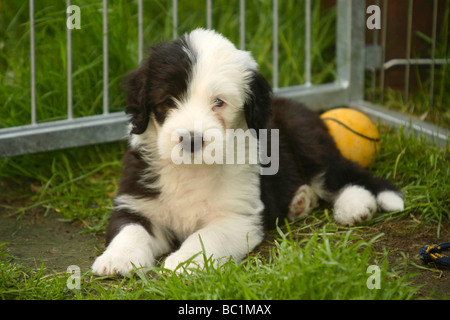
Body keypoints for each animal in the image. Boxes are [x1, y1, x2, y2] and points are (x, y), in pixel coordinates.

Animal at [91, 28, 404, 276]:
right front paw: (118, 259)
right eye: (168, 100)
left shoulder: (238, 216)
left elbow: (206, 237)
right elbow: (129, 229)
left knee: (341, 175)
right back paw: (300, 202)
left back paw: (355, 206)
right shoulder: (136, 201)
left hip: (308, 145)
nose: (191, 140)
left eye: (219, 102)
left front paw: (184, 263)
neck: (192, 170)